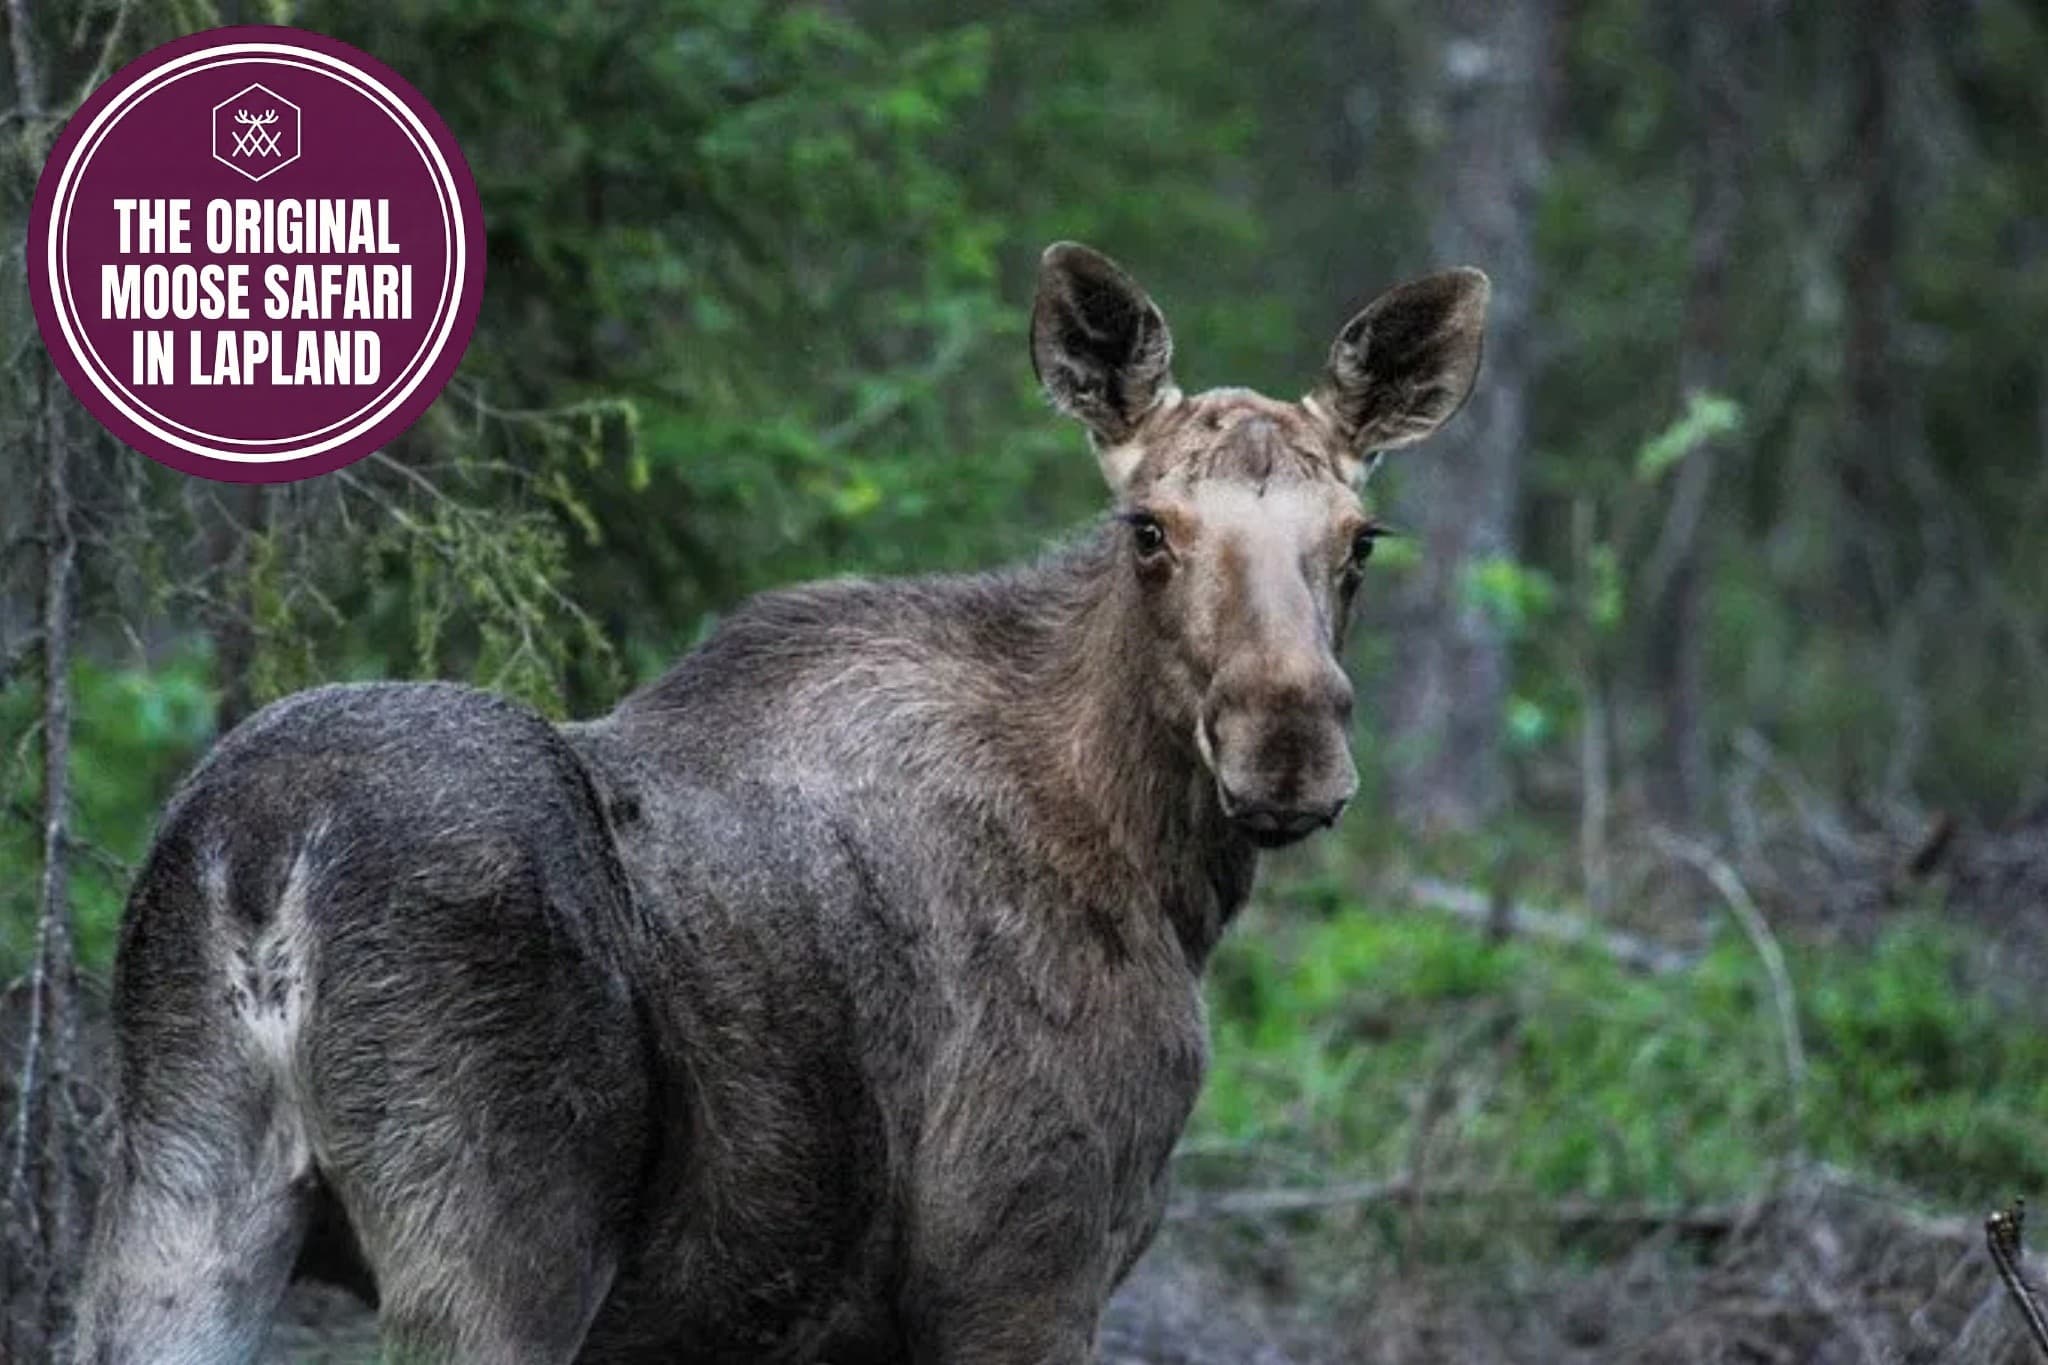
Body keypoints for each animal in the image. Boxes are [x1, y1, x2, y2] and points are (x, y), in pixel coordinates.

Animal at [72, 243, 1487, 1364]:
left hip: (176, 1208)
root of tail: (267, 865)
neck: (1158, 872)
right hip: (492, 1245)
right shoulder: (1022, 1260)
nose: (1286, 748)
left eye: (1358, 538)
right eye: (1147, 528)